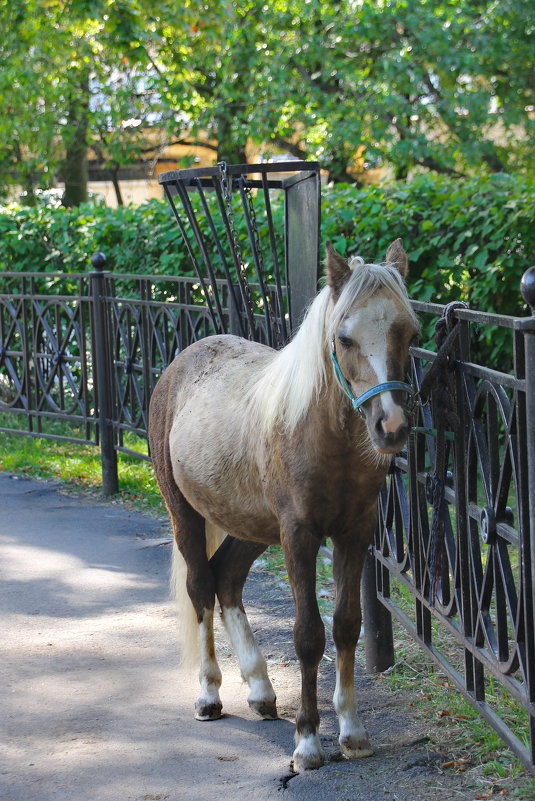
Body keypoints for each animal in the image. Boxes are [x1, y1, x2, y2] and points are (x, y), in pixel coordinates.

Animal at [149, 236, 420, 768]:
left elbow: (346, 625)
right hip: (184, 515)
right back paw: (209, 695)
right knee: (200, 586)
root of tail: (178, 365)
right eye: (345, 339)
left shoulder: (353, 533)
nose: (392, 427)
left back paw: (260, 689)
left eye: (408, 331)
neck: (323, 435)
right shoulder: (299, 536)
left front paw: (352, 731)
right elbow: (308, 634)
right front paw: (309, 741)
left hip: (251, 526)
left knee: (226, 579)